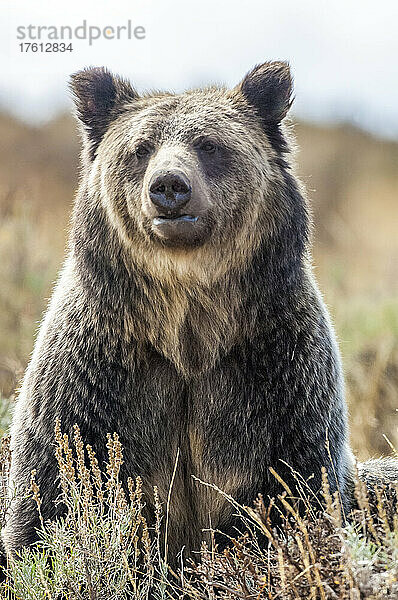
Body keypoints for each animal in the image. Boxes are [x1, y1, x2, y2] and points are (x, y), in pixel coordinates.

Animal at [3, 62, 360, 564]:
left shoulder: (276, 368)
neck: (187, 329)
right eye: (140, 148)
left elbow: (297, 486)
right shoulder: (99, 370)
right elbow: (57, 482)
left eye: (209, 144)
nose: (169, 186)